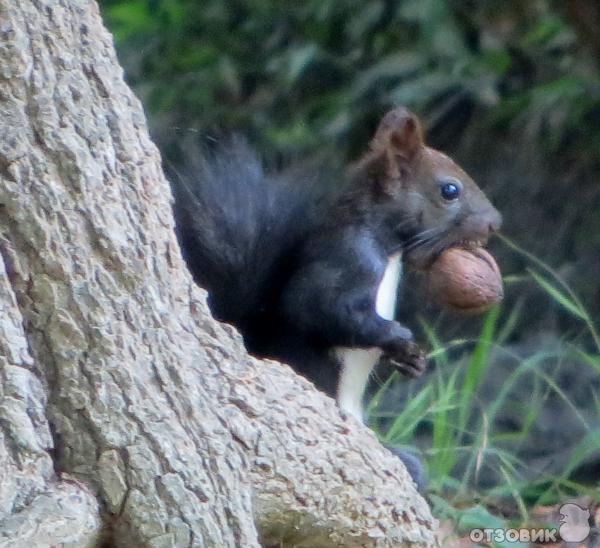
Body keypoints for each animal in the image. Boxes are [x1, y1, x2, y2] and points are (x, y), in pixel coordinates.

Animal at [170, 106, 502, 488]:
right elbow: (321, 308)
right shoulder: (346, 259)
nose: (495, 222)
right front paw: (397, 338)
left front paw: (413, 362)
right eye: (449, 190)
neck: (387, 247)